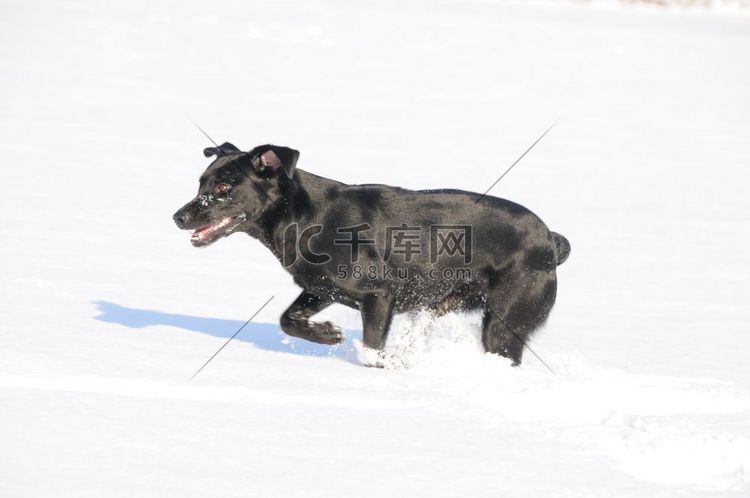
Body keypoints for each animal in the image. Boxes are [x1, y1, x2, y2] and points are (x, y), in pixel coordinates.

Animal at [175, 142, 568, 364]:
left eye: (224, 188)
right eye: (200, 184)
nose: (178, 216)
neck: (304, 217)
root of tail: (550, 240)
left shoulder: (379, 294)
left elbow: (371, 349)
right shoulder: (321, 289)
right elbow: (288, 319)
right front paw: (327, 334)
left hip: (504, 322)